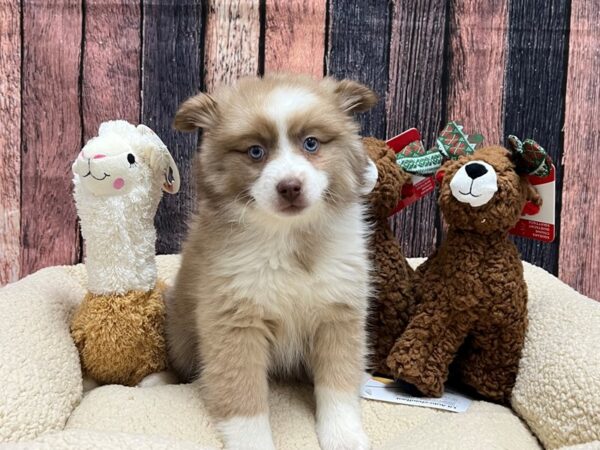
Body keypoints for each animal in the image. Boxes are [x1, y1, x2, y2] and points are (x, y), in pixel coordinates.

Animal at [166, 74, 378, 450]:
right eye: (255, 152)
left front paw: (344, 435)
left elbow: (338, 384)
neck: (290, 240)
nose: (290, 187)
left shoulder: (339, 315)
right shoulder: (235, 323)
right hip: (179, 336)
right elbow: (244, 399)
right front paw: (253, 442)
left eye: (311, 144)